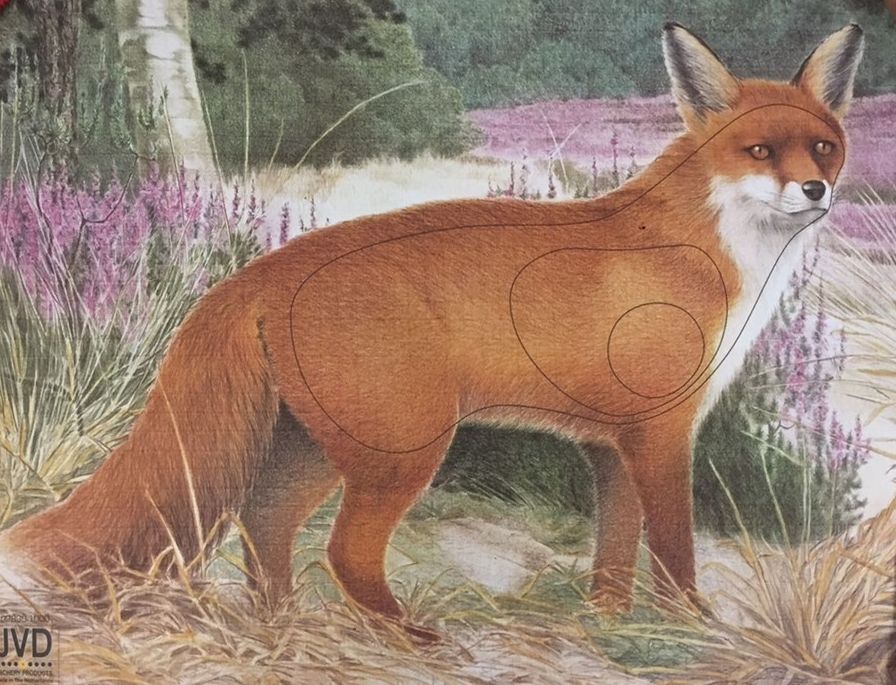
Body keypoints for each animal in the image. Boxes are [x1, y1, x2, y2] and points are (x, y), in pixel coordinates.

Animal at [0, 23, 864, 634]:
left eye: (822, 146)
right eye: (760, 150)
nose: (817, 191)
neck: (704, 251)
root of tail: (264, 267)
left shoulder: (612, 441)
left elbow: (615, 555)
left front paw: (611, 625)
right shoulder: (661, 432)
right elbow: (676, 548)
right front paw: (690, 628)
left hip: (319, 451)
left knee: (264, 524)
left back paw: (282, 624)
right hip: (404, 450)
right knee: (343, 551)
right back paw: (405, 634)